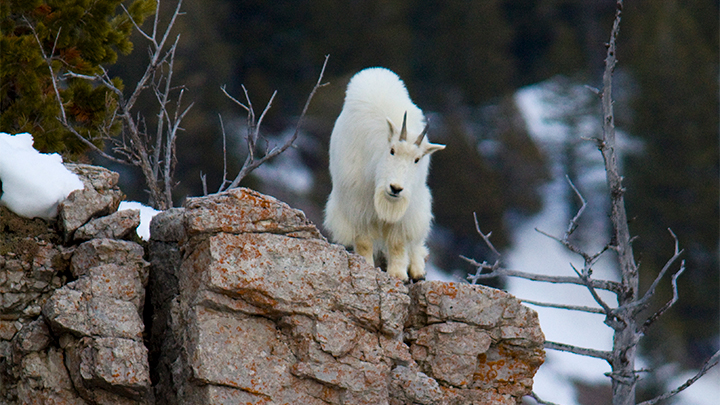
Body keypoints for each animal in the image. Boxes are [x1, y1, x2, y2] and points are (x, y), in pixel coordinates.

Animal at [322, 67, 444, 280]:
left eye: (417, 159)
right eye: (392, 150)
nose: (395, 188)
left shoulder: (405, 210)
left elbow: (398, 242)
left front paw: (398, 274)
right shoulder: (357, 204)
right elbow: (363, 241)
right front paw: (366, 266)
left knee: (416, 240)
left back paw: (418, 270)